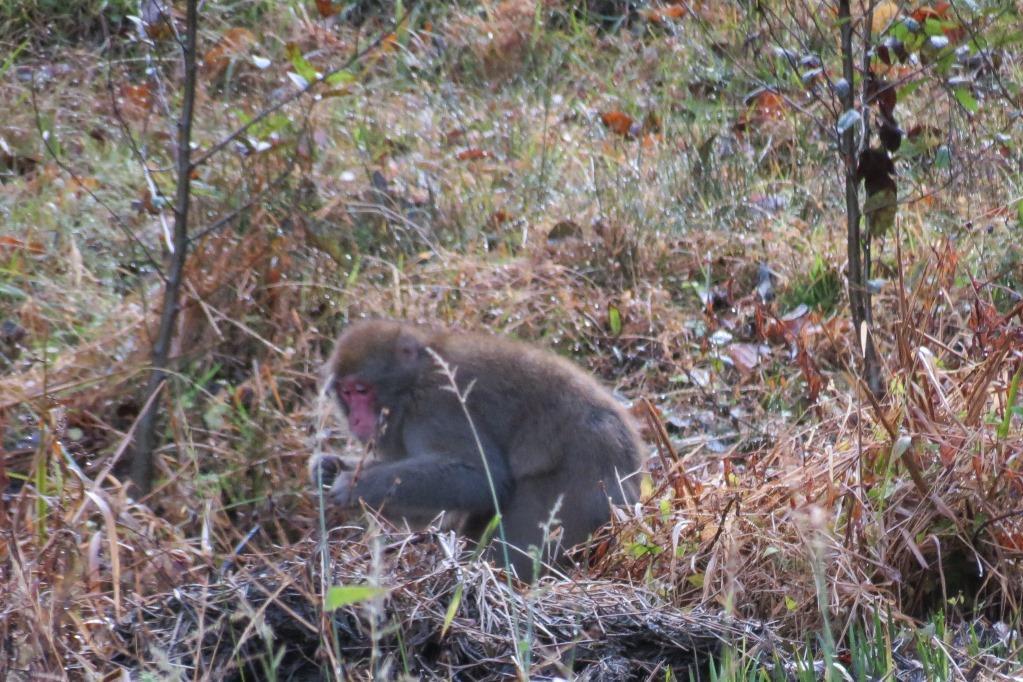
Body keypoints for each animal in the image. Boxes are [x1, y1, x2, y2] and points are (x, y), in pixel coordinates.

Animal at [310, 321, 642, 576]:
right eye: (346, 393)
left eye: (362, 390)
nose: (355, 418)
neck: (413, 383)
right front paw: (328, 467)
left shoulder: (438, 406)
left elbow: (481, 477)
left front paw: (353, 485)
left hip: (580, 487)